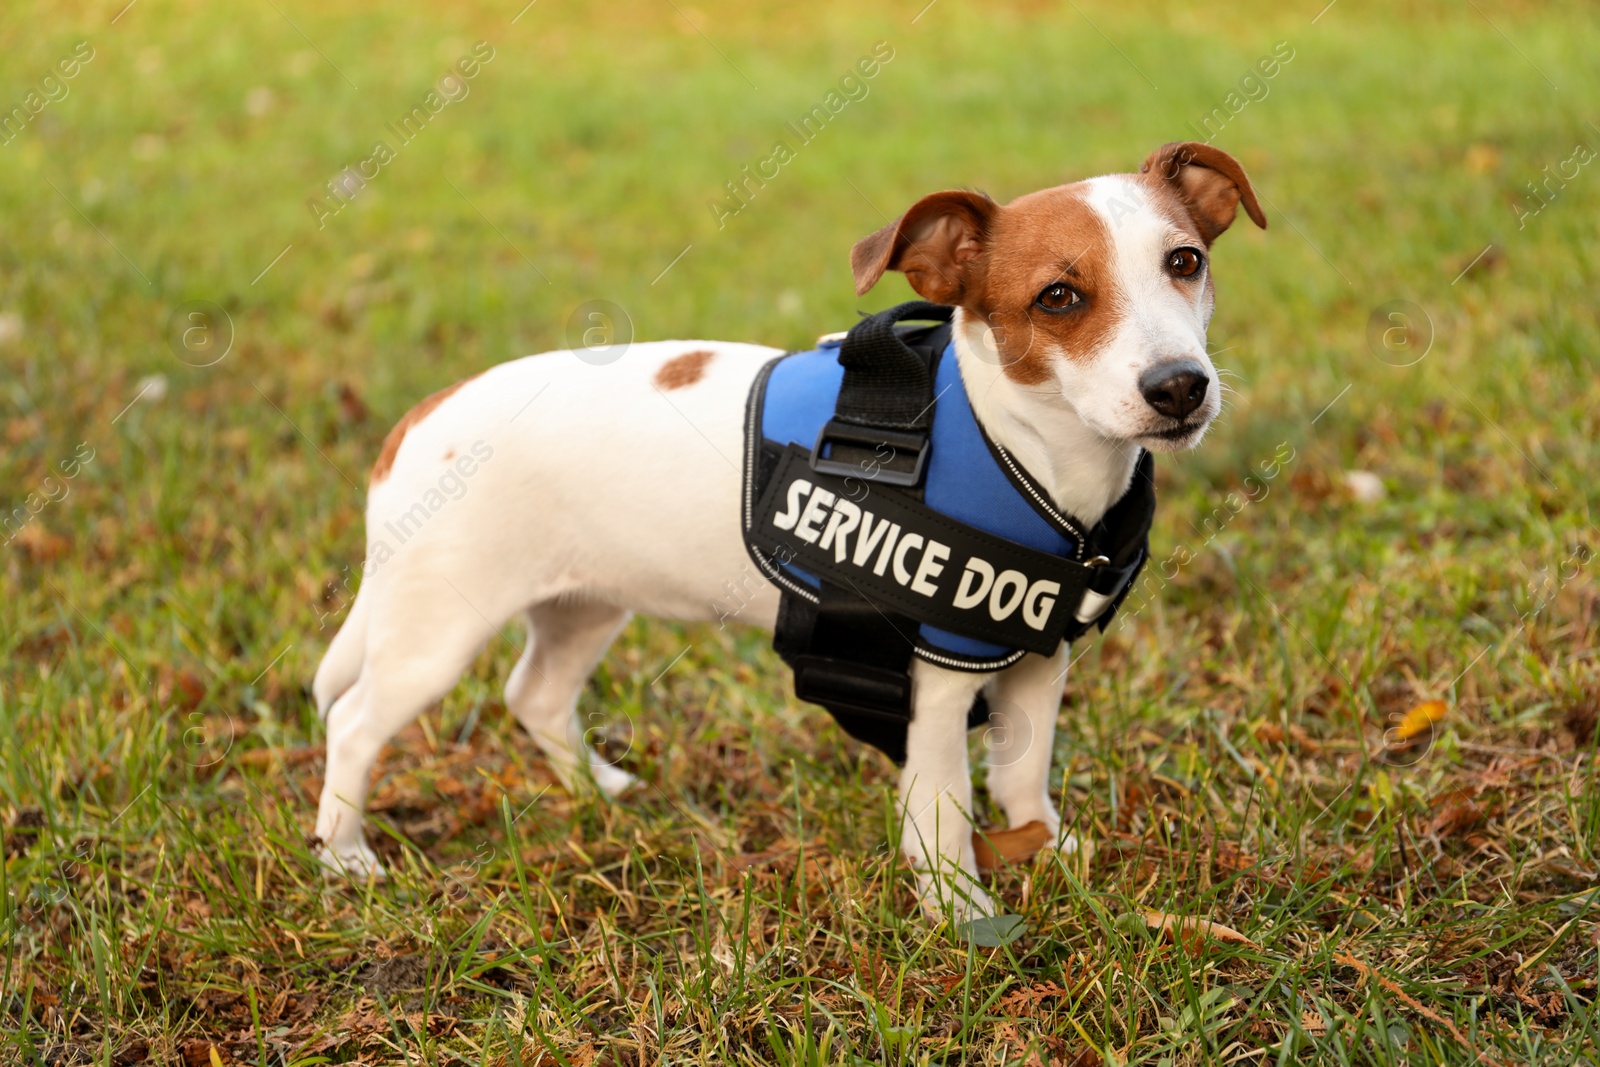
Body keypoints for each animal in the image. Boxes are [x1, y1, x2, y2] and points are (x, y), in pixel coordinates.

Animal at [308, 141, 1260, 921]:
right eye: (1057, 297)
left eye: (1186, 262)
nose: (1181, 385)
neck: (1020, 445)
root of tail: (425, 416)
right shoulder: (933, 691)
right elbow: (944, 815)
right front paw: (961, 916)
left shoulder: (1034, 663)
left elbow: (1022, 778)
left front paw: (1050, 851)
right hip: (435, 632)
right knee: (354, 723)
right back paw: (347, 854)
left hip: (586, 604)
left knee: (535, 694)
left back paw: (597, 787)